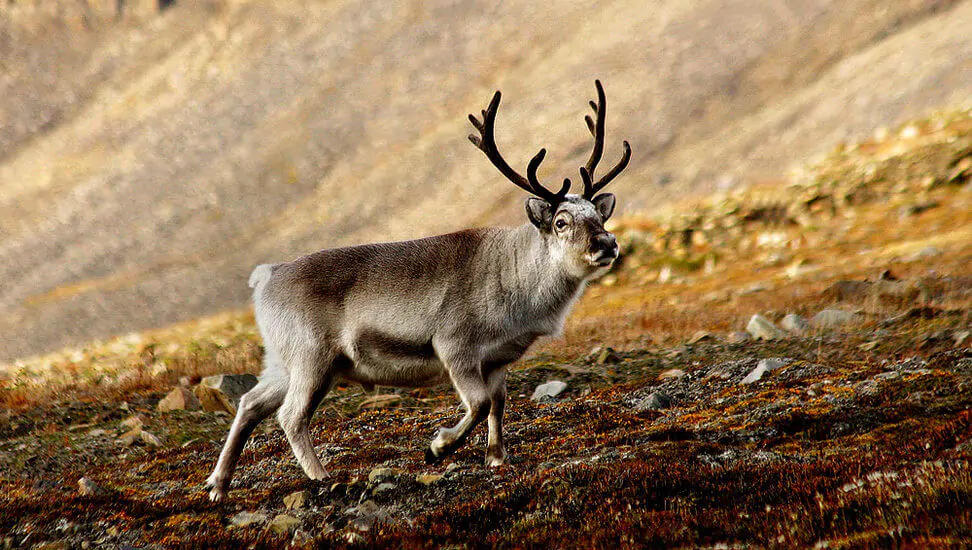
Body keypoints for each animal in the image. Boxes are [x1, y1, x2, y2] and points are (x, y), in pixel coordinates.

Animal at [205, 80, 631, 502]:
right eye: (561, 221)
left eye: (598, 214)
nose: (607, 243)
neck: (518, 279)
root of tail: (266, 276)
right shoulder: (454, 345)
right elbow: (478, 404)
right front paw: (439, 447)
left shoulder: (497, 360)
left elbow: (498, 404)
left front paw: (496, 458)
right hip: (313, 358)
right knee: (291, 415)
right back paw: (320, 475)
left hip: (282, 360)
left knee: (249, 403)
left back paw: (218, 485)